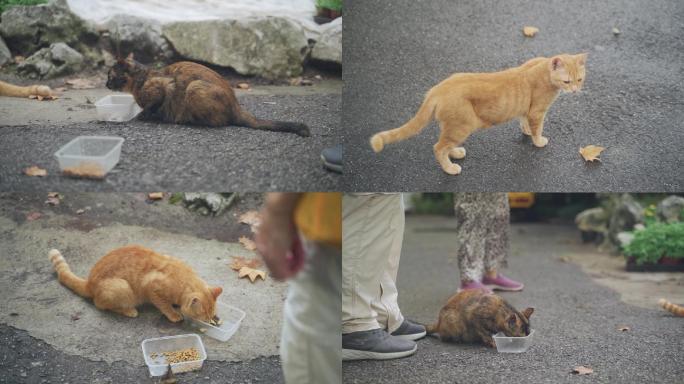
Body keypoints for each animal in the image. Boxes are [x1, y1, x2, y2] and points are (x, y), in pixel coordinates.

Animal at [50, 244, 222, 322]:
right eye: (203, 315)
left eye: (211, 314)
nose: (210, 321)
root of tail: (89, 282)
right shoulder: (152, 288)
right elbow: (164, 305)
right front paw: (174, 314)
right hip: (122, 288)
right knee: (100, 304)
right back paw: (129, 311)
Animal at [106, 53, 310, 136]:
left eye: (110, 76)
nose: (106, 84)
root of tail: (236, 106)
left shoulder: (163, 86)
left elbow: (152, 105)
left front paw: (144, 115)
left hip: (194, 87)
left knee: (218, 122)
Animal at [368, 52, 588, 174]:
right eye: (567, 81)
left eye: (580, 80)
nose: (575, 91)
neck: (543, 68)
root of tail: (437, 89)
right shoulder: (537, 111)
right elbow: (537, 129)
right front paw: (538, 141)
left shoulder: (527, 110)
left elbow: (524, 121)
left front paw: (525, 131)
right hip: (463, 126)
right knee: (438, 147)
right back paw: (450, 168)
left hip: (451, 126)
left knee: (444, 144)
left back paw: (455, 153)